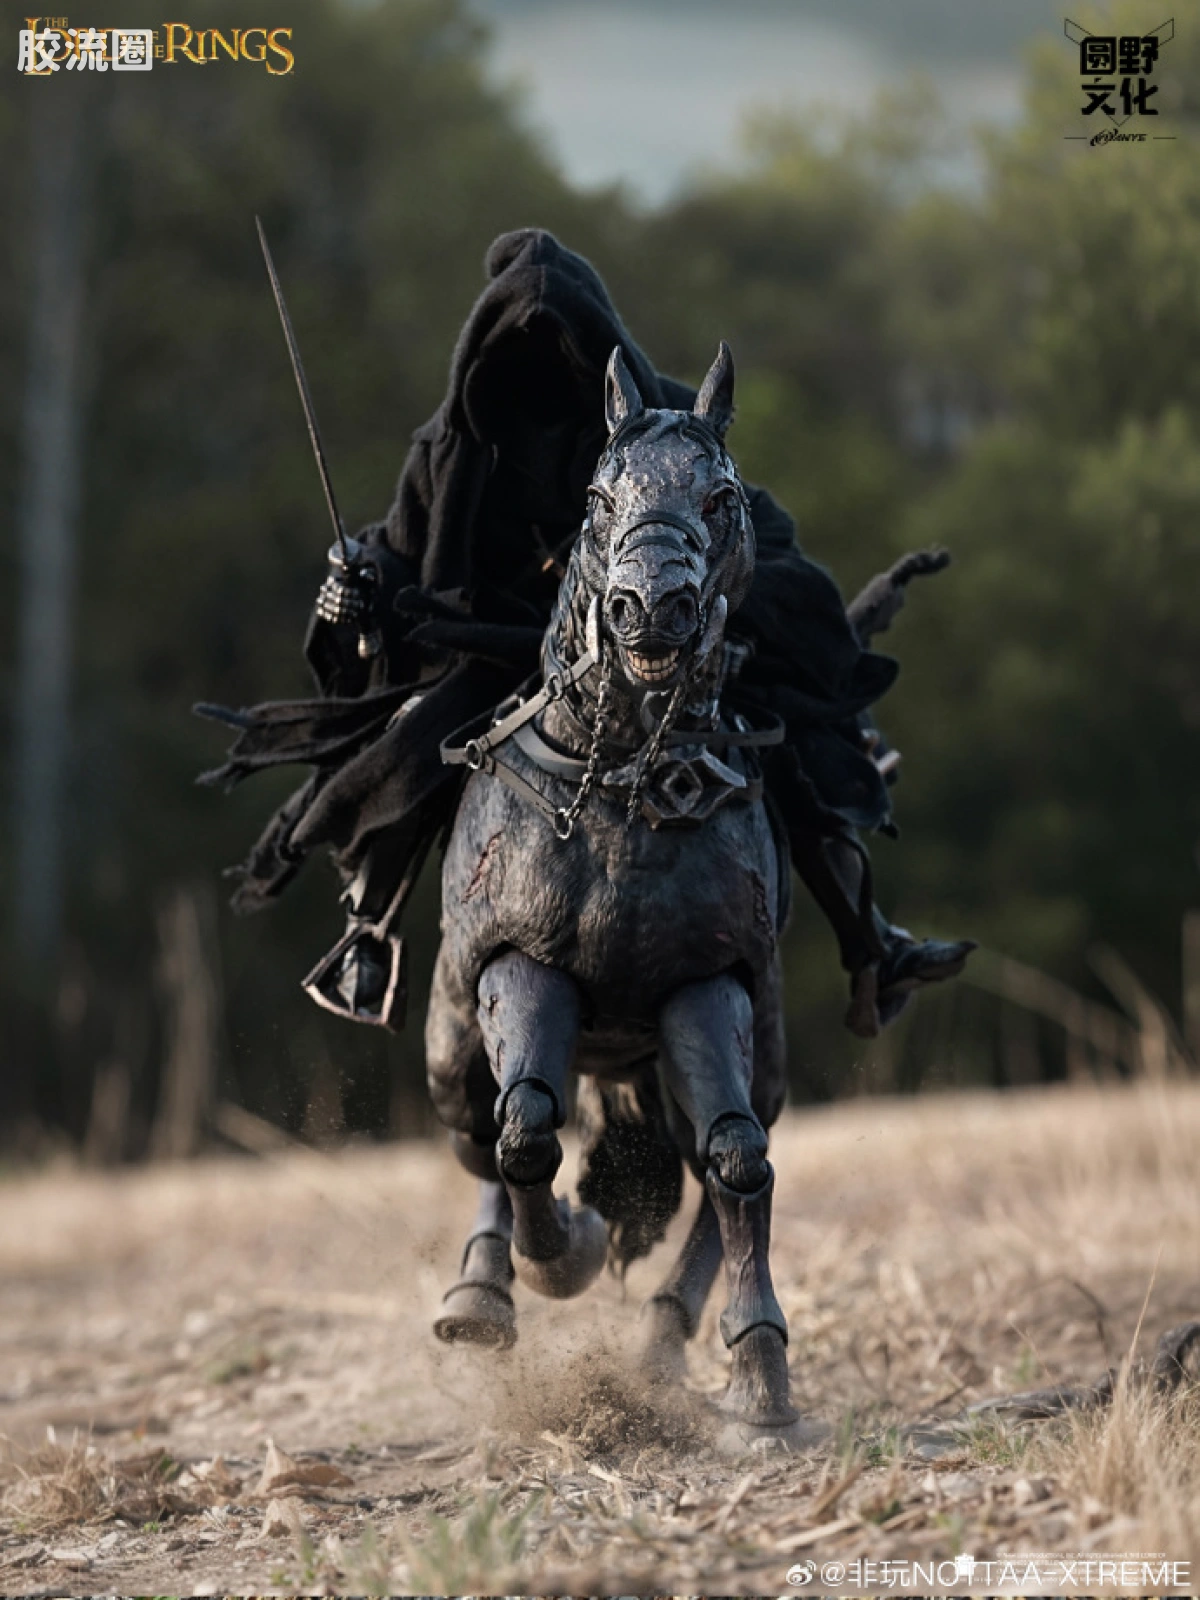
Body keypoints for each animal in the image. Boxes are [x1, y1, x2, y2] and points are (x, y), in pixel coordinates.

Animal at [425, 340, 807, 1442]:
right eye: (598, 498)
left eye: (722, 496)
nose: (651, 606)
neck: (632, 784)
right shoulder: (522, 966)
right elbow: (524, 1130)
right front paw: (567, 1252)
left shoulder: (707, 983)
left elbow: (739, 1158)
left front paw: (759, 1372)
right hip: (447, 1043)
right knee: (483, 1132)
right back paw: (483, 1293)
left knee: (715, 1156)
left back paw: (664, 1339)